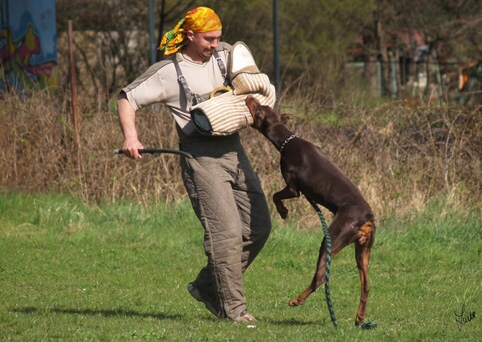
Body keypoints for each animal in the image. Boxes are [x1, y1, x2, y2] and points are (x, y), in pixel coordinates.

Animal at [245, 94, 376, 326]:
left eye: (259, 109)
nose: (250, 96)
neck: (287, 140)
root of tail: (367, 218)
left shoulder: (293, 188)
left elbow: (275, 195)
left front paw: (283, 212)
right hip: (363, 251)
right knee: (366, 285)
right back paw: (360, 317)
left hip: (332, 238)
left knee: (321, 276)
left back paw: (296, 300)